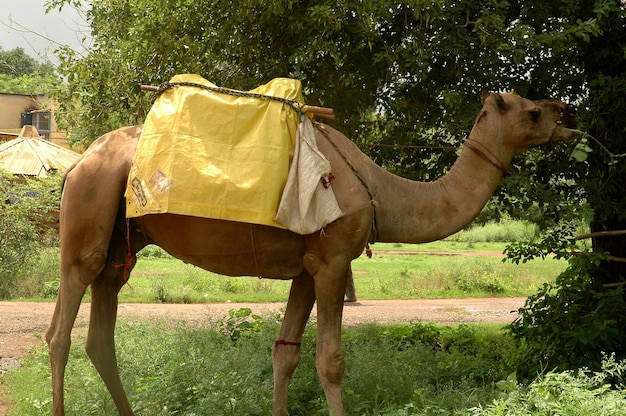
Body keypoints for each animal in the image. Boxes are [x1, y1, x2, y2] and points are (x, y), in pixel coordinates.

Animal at [45, 92, 580, 414]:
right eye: (532, 111)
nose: (570, 114)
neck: (383, 191)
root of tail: (76, 164)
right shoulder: (333, 260)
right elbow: (331, 360)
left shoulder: (306, 269)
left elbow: (286, 353)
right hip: (88, 215)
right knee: (59, 332)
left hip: (122, 246)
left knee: (101, 330)